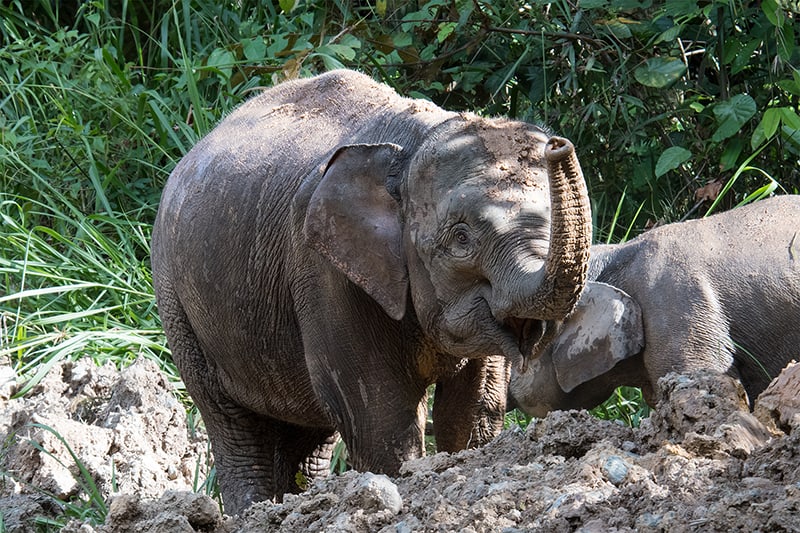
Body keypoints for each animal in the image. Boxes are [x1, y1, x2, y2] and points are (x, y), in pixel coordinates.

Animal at [150, 69, 592, 512]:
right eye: (462, 238)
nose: (558, 144)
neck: (417, 142)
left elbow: (473, 408)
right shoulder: (325, 272)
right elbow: (379, 413)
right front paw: (399, 483)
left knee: (308, 435)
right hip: (178, 304)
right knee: (233, 423)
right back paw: (253, 510)